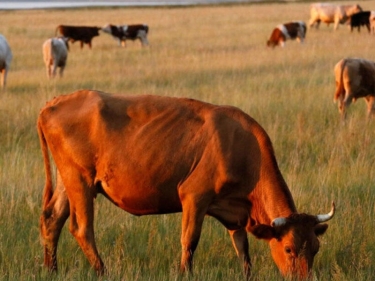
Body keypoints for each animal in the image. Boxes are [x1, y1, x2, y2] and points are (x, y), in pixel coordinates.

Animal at [38, 89, 336, 278]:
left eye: (316, 248)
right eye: (288, 249)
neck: (244, 147)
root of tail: (54, 102)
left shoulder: (235, 213)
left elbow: (242, 247)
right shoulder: (194, 195)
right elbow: (190, 239)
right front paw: (184, 273)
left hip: (68, 181)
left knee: (52, 220)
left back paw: (52, 269)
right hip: (80, 181)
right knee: (82, 228)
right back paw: (102, 271)